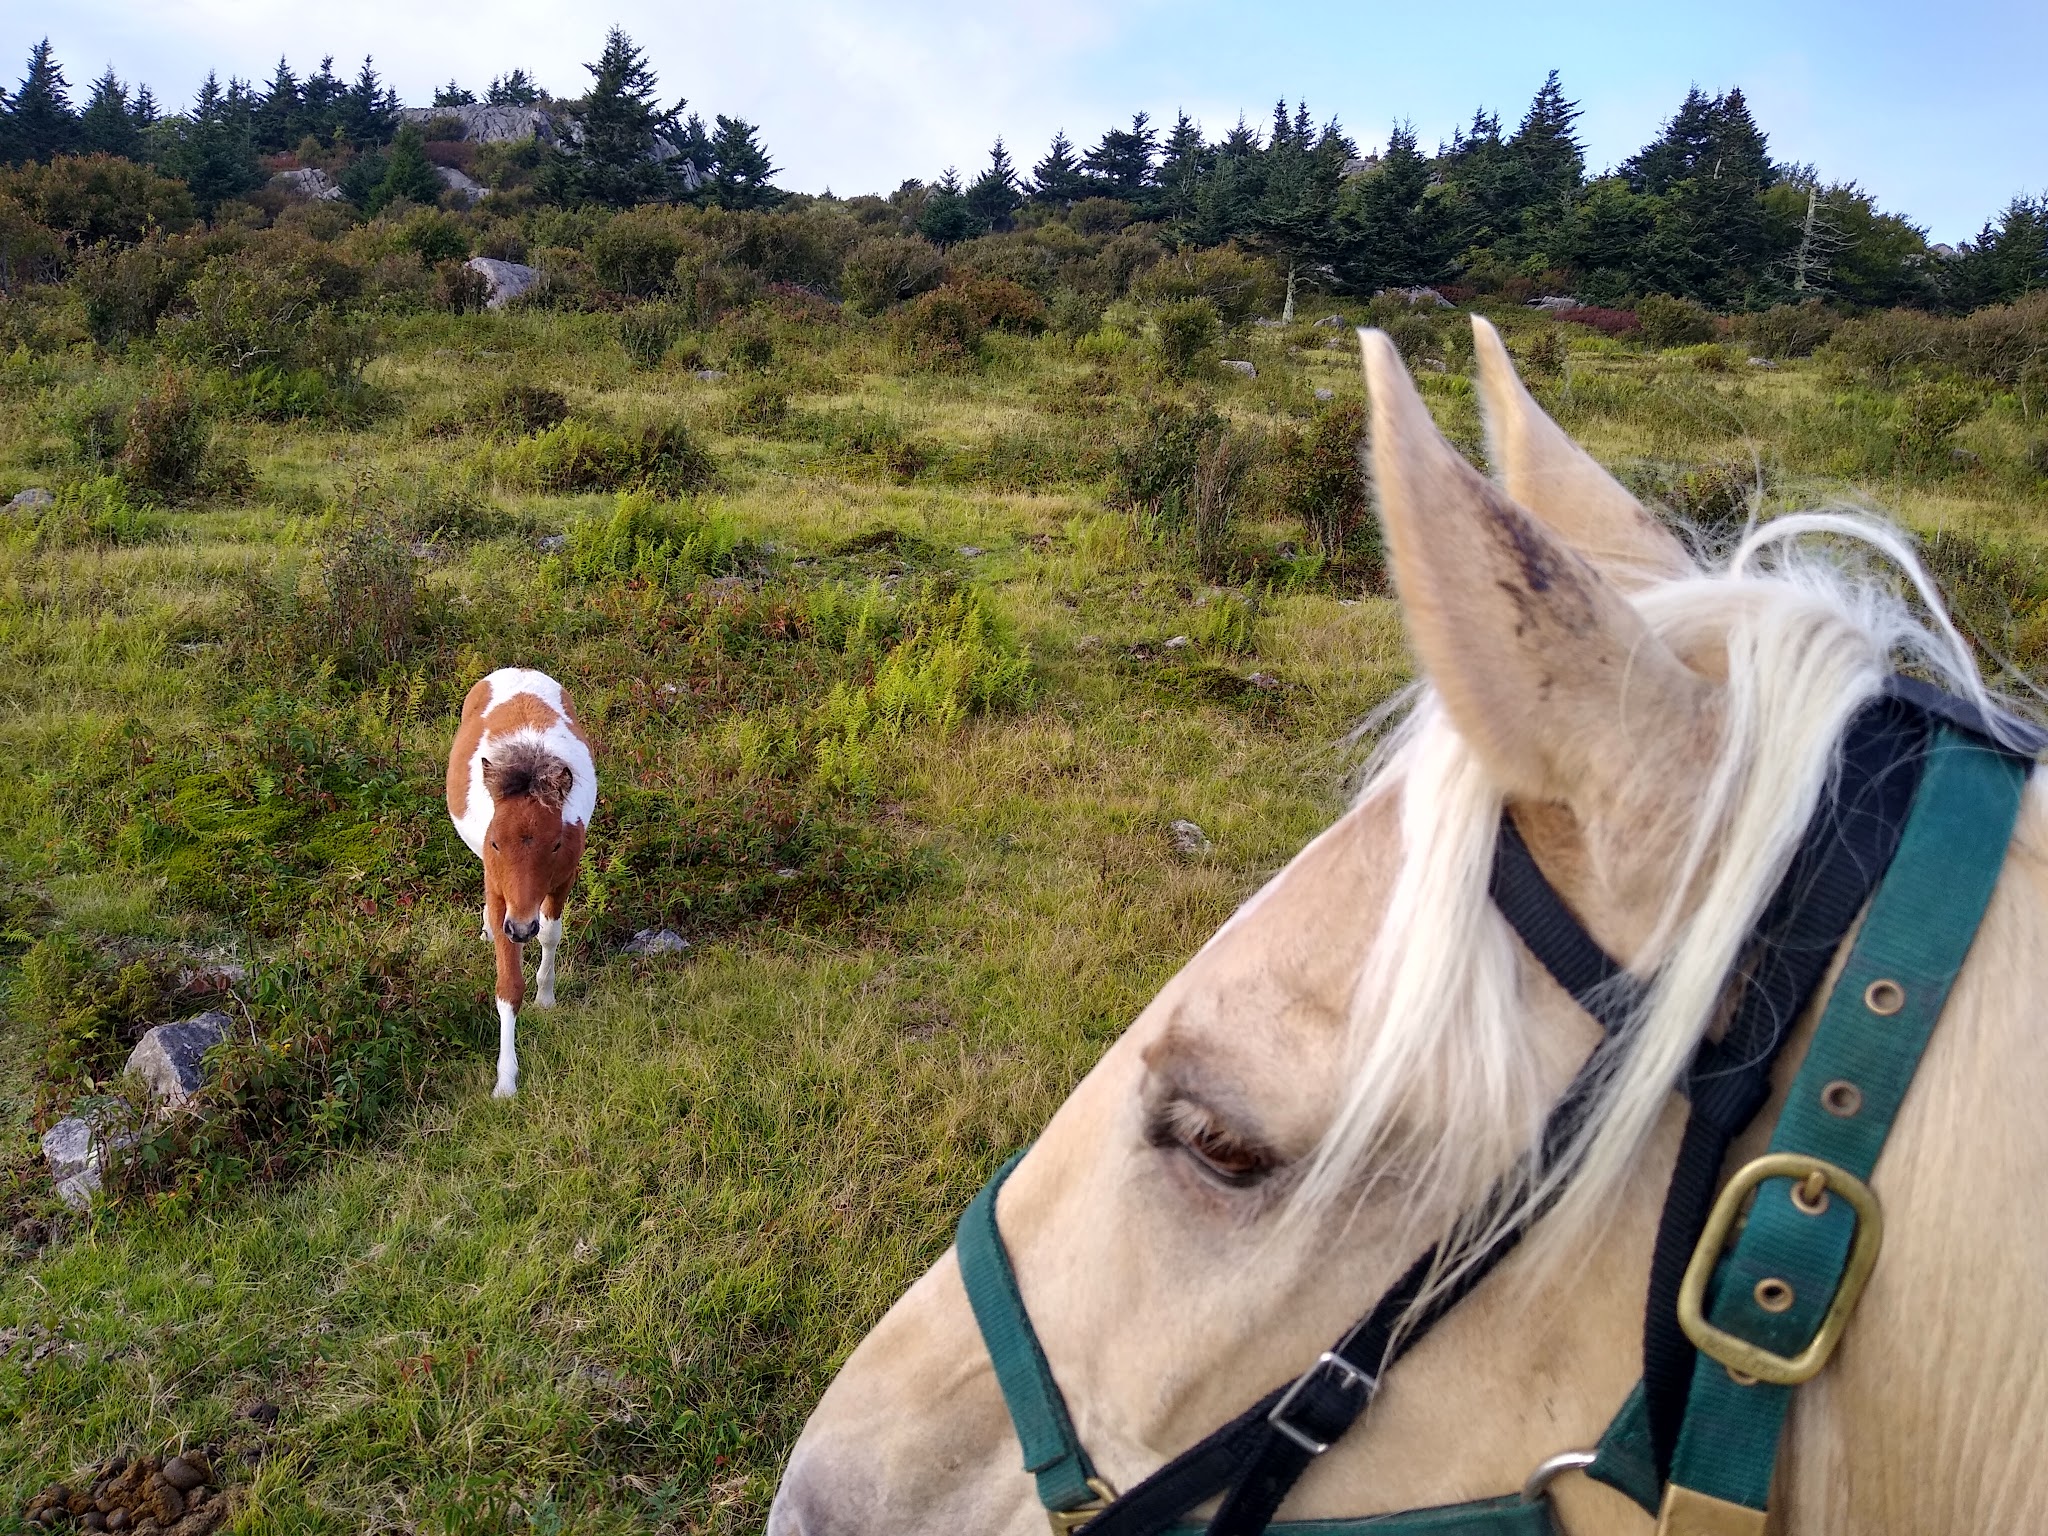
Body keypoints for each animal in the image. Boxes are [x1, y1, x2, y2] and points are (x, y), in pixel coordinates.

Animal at [445, 666, 597, 1099]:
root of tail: (518, 669)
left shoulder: (562, 881)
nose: (520, 929)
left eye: (556, 843)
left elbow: (550, 934)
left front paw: (546, 997)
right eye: (496, 842)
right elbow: (508, 987)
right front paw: (505, 1081)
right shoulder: (501, 895)